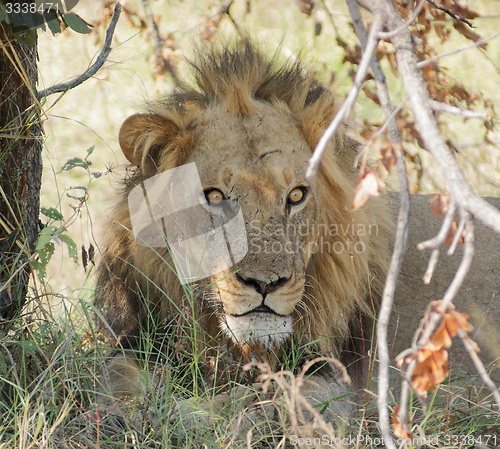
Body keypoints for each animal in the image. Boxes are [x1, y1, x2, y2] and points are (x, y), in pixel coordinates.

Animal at [94, 39, 500, 424]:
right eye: (215, 196)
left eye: (296, 195)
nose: (266, 284)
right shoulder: (137, 340)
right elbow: (112, 374)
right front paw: (128, 410)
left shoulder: (337, 383)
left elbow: (265, 400)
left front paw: (187, 415)